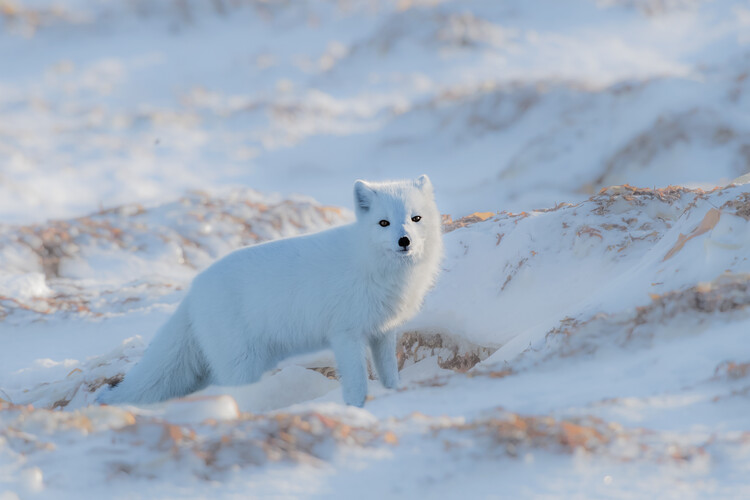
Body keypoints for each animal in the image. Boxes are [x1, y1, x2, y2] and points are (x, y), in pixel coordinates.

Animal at [97, 175, 443, 407]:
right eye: (384, 223)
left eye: (415, 218)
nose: (404, 240)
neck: (373, 266)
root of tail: (193, 292)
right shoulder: (346, 334)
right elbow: (357, 384)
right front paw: (357, 409)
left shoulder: (382, 332)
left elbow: (389, 374)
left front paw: (395, 395)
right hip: (243, 363)